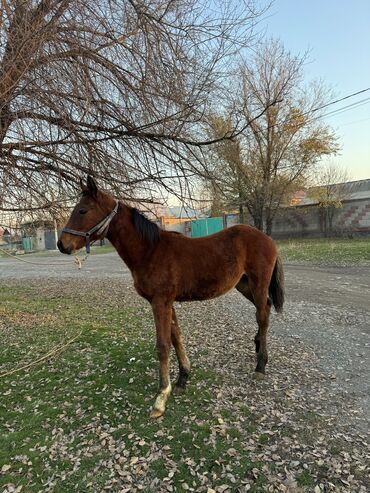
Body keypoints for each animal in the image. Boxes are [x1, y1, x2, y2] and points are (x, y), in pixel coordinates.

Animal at [57, 176, 284, 416]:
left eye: (82, 210)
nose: (62, 244)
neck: (150, 251)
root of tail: (266, 237)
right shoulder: (167, 302)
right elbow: (176, 338)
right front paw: (183, 378)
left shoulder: (160, 302)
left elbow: (163, 345)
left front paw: (161, 396)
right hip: (243, 285)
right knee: (266, 308)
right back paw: (258, 347)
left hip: (258, 284)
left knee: (262, 315)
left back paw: (260, 365)